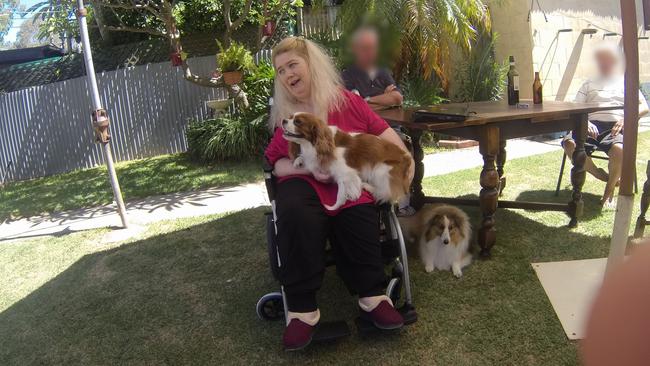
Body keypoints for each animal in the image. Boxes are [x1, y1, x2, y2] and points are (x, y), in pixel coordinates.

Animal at [278, 111, 410, 210]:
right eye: (290, 117)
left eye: (297, 122)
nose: (283, 120)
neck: (313, 145)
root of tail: (407, 157)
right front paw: (298, 160)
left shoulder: (345, 173)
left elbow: (340, 194)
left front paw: (333, 207)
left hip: (381, 169)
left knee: (386, 192)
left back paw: (367, 186)